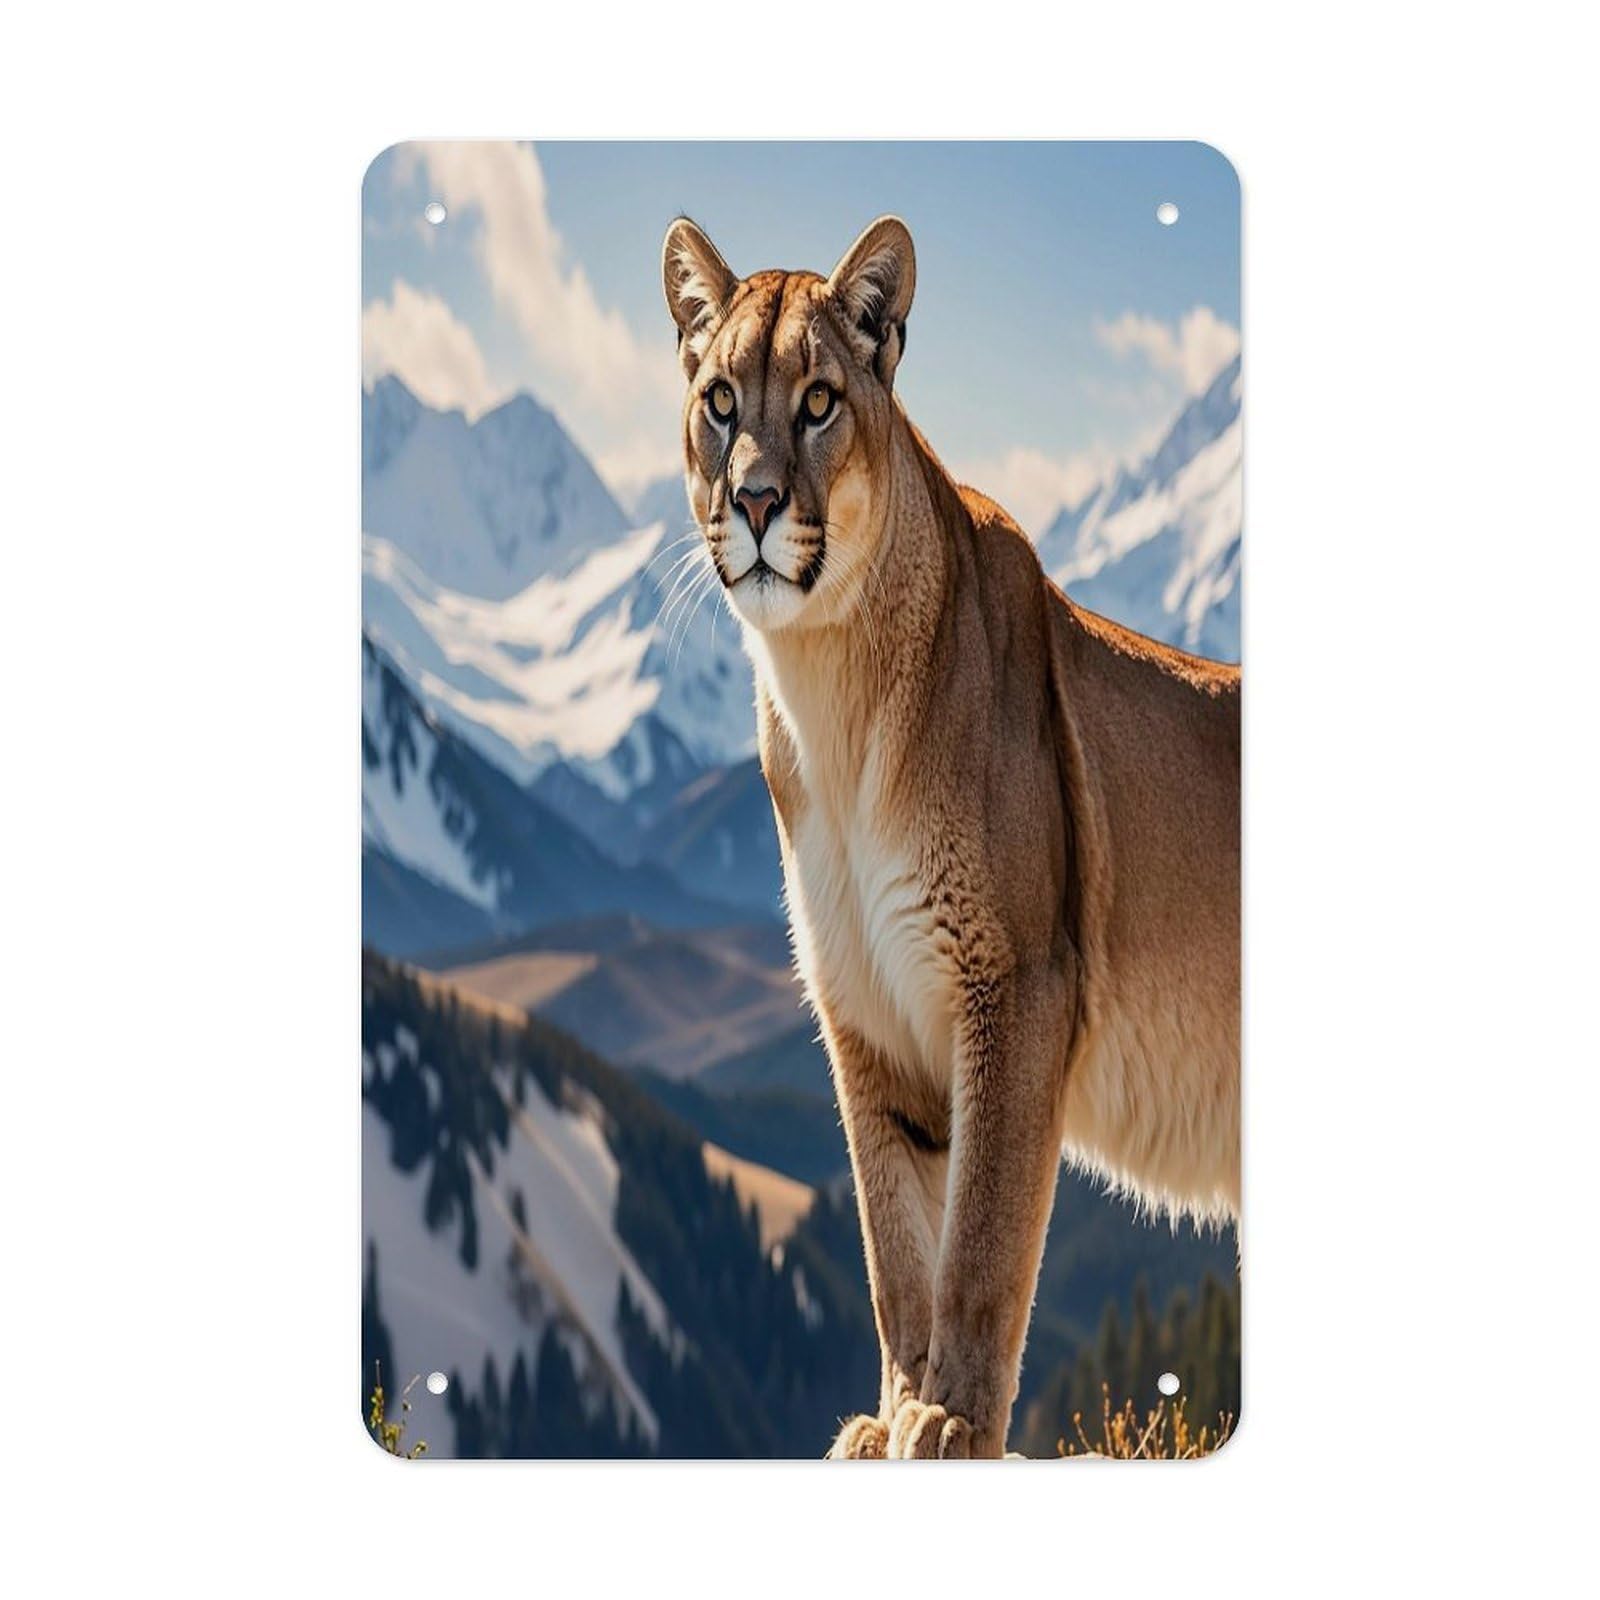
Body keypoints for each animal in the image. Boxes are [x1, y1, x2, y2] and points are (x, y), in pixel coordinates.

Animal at [662, 215, 1240, 1459]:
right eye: (721, 400)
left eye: (819, 401)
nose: (756, 501)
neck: (830, 695)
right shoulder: (864, 1010)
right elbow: (895, 1248)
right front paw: (889, 1413)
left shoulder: (1013, 984)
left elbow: (980, 1235)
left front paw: (952, 1419)